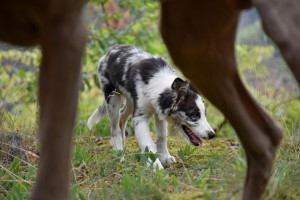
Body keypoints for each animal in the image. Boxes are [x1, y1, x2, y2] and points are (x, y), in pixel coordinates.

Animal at [86, 44, 216, 168]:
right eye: (194, 115)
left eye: (204, 115)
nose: (212, 135)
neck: (155, 84)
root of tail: (108, 53)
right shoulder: (140, 118)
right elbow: (148, 145)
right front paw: (156, 167)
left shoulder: (158, 113)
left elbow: (161, 136)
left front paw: (165, 157)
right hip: (112, 99)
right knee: (114, 128)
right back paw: (118, 152)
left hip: (130, 101)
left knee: (122, 116)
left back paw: (122, 145)